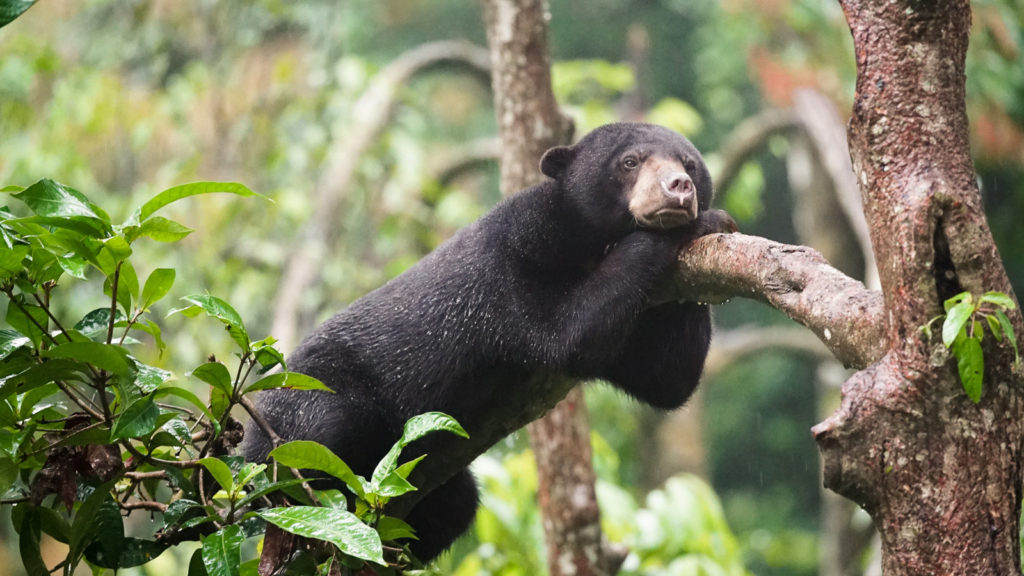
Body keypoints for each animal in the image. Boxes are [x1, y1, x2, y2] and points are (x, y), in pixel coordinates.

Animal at [244, 122, 737, 561]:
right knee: (324, 434)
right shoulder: (516, 252)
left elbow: (665, 379)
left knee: (454, 508)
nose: (678, 188)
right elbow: (564, 333)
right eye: (630, 162)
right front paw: (698, 224)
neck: (593, 239)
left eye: (689, 164)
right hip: (306, 410)